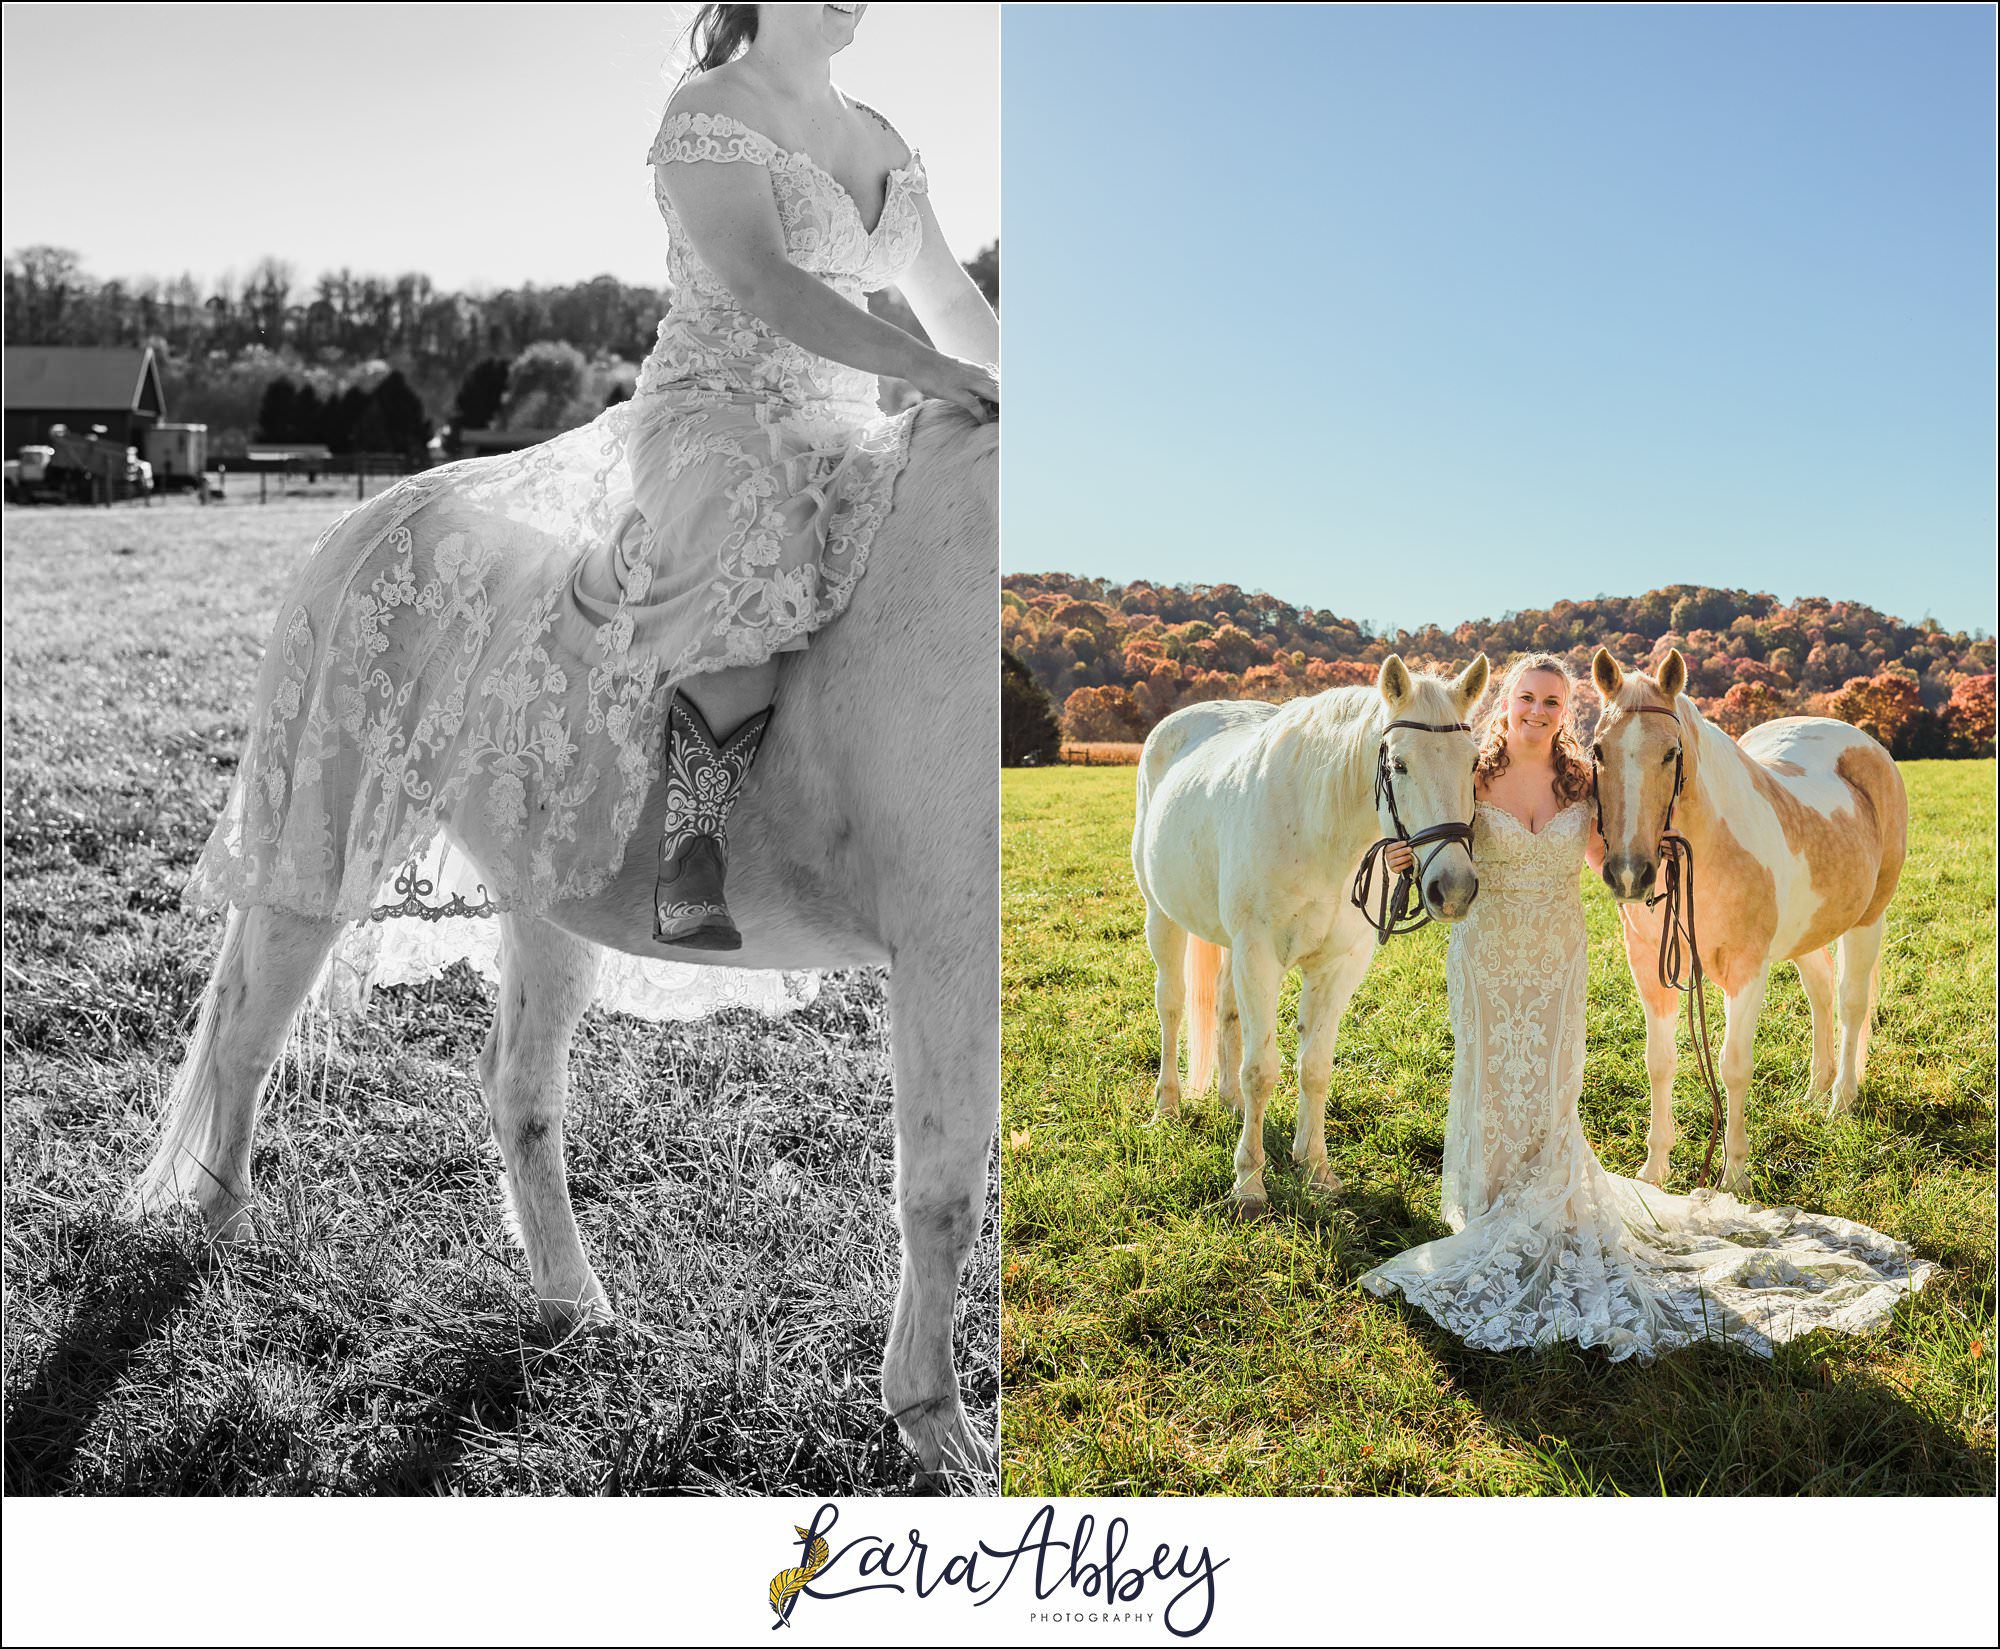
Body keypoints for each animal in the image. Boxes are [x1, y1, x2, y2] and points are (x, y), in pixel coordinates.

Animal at [124, 401, 999, 1484]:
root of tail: (367, 521)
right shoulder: (947, 950)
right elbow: (941, 1194)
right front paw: (939, 1428)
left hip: (545, 903)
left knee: (518, 1090)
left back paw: (573, 1307)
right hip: (319, 853)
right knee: (250, 1037)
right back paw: (221, 1223)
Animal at [1133, 654, 1490, 1213]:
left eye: (1474, 764)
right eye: (1400, 765)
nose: (1452, 888)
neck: (1320, 833)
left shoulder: (1337, 966)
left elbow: (1314, 1068)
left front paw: (1316, 1169)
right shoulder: (1259, 956)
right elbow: (1261, 1070)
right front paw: (1249, 1183)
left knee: (1226, 1010)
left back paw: (1229, 1104)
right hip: (1162, 919)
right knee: (1170, 1006)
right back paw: (1166, 1107)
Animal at [1590, 647, 1907, 1197]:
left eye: (1670, 753)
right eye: (1598, 751)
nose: (1630, 872)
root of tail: (1866, 744)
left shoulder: (1747, 971)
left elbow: (1733, 1066)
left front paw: (1733, 1176)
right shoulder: (1651, 970)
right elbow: (1659, 1062)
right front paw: (1654, 1171)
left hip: (1868, 920)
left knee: (1850, 1004)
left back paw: (1840, 1100)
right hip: (1807, 932)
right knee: (1820, 993)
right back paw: (1815, 1090)